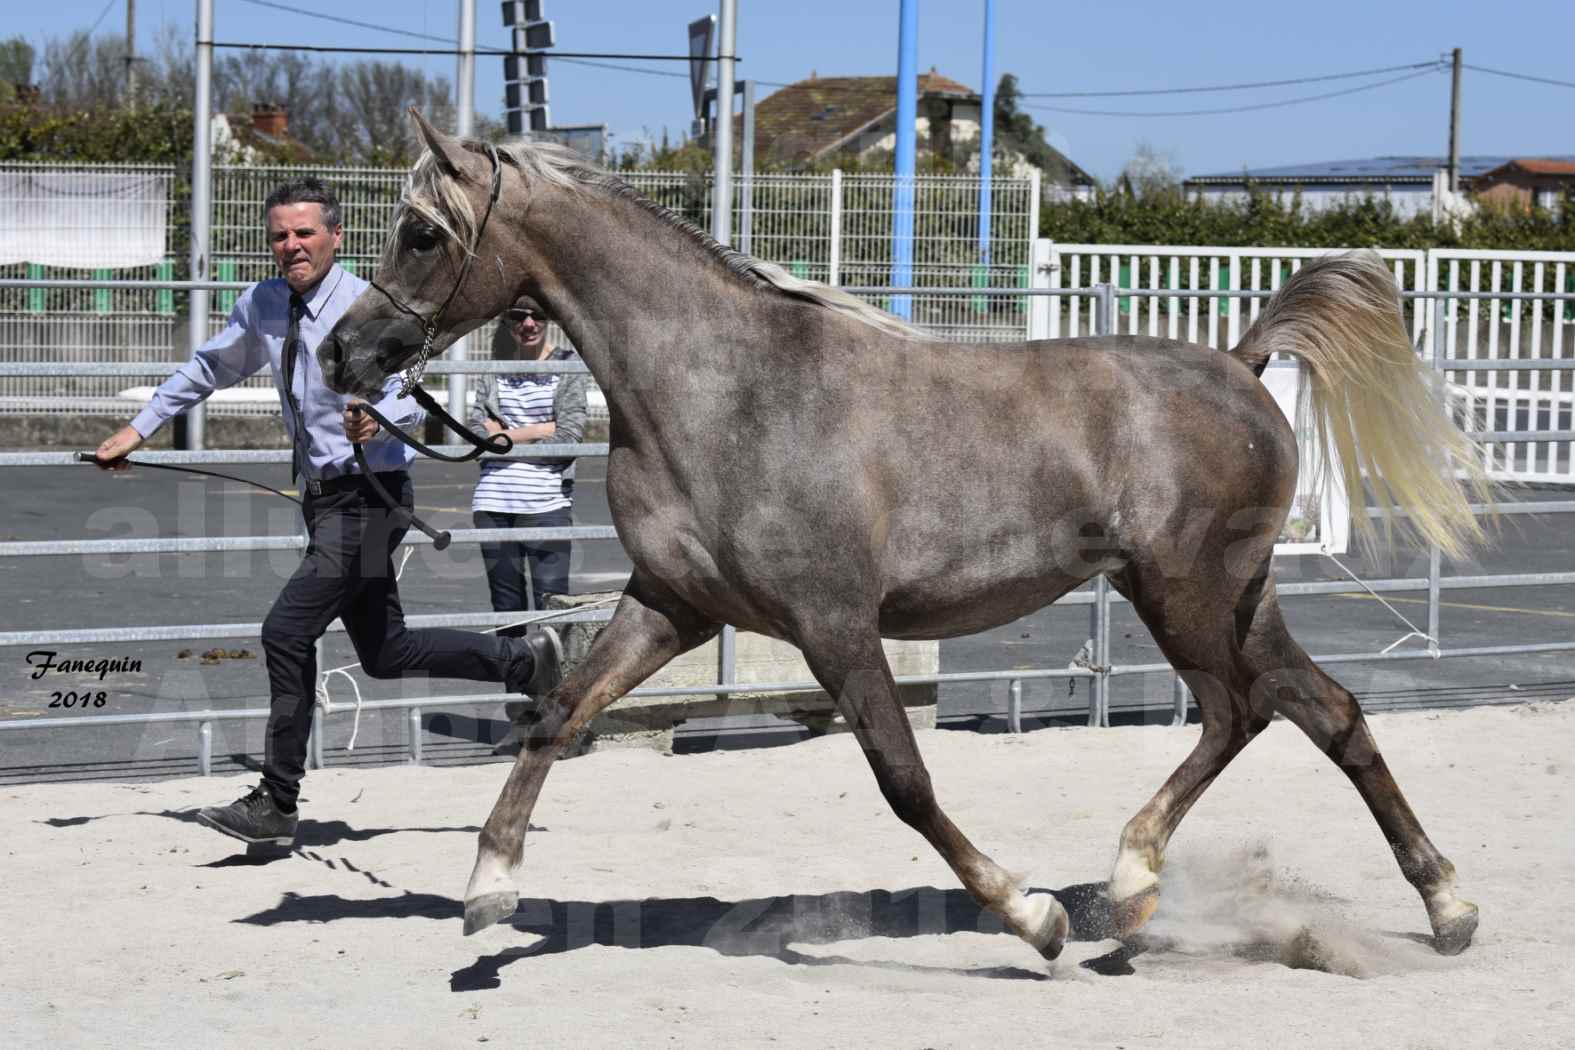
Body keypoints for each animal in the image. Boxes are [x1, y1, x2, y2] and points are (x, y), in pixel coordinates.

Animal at [316, 110, 1486, 963]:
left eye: (421, 233)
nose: (342, 354)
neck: (725, 391)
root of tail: (1242, 365)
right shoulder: (672, 605)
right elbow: (556, 716)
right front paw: (488, 892)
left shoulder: (834, 622)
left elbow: (905, 780)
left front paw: (1031, 917)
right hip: (1231, 599)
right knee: (1319, 711)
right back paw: (1430, 907)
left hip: (1183, 595)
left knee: (1247, 712)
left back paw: (1143, 890)